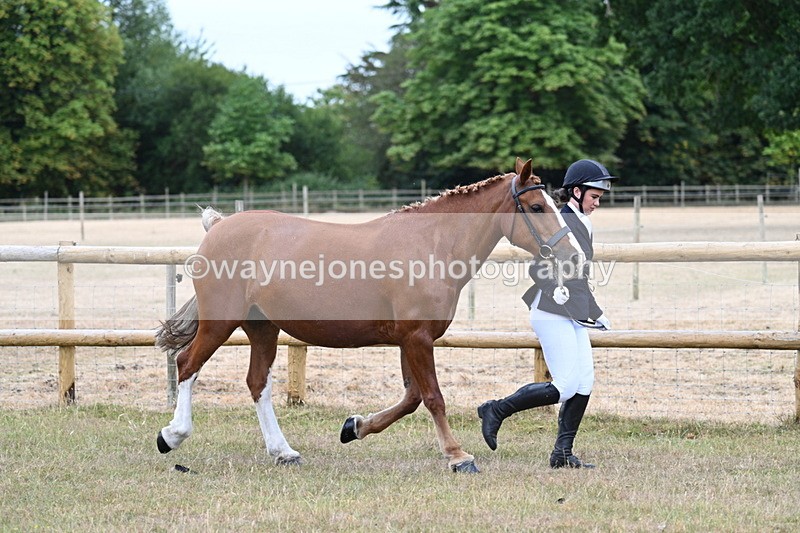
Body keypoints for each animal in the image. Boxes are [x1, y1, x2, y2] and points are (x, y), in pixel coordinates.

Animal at [154, 158, 582, 473]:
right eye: (537, 207)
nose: (573, 255)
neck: (432, 245)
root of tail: (220, 226)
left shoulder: (410, 340)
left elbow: (411, 399)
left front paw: (355, 427)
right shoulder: (417, 339)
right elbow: (433, 397)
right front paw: (458, 456)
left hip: (262, 328)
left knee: (257, 382)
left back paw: (283, 452)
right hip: (221, 323)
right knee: (187, 364)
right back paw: (172, 435)